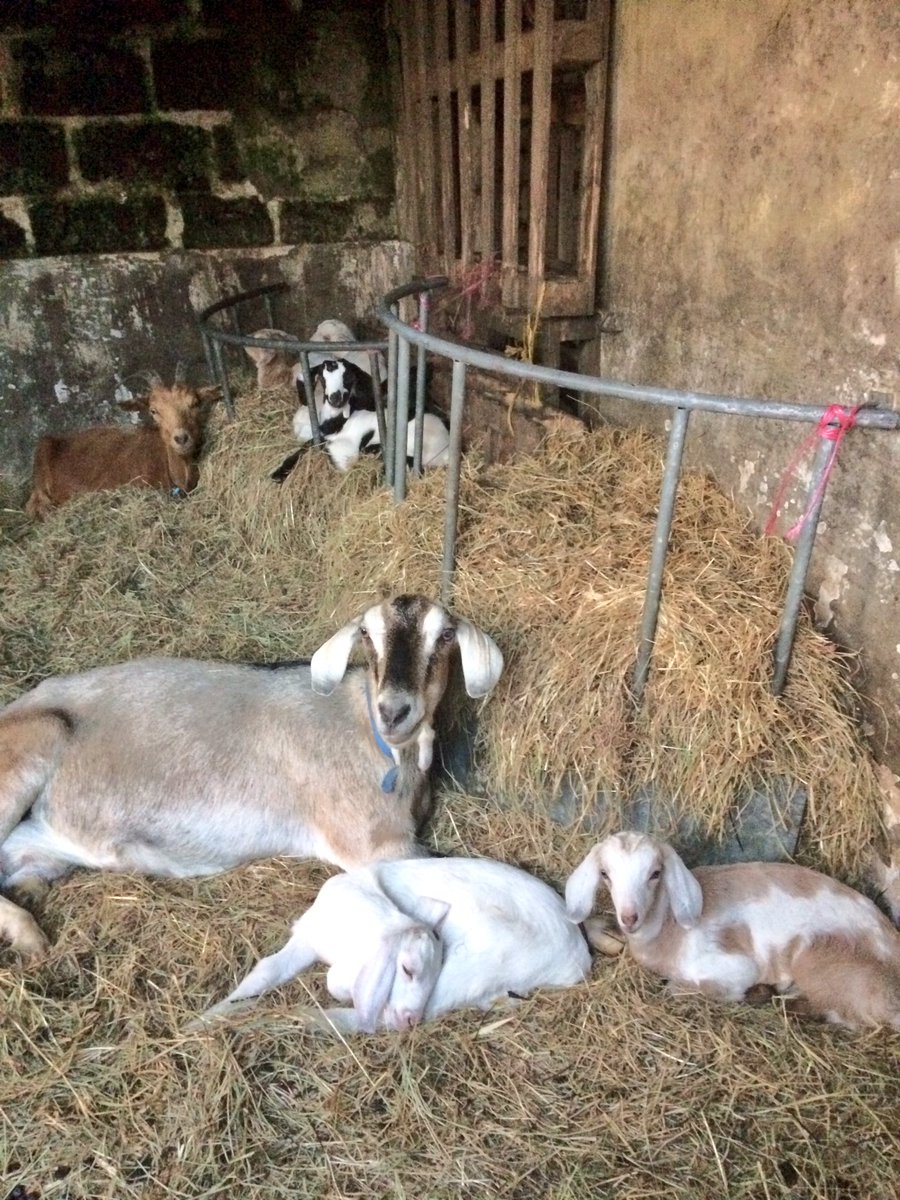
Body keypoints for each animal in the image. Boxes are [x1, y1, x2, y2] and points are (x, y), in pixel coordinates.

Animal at [0, 595, 504, 960]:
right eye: (367, 633)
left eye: (444, 635)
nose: (394, 710)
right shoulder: (373, 845)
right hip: (36, 740)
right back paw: (27, 935)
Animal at [194, 856, 591, 1033]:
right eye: (407, 969)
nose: (410, 1019)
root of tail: (577, 956)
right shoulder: (307, 937)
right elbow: (264, 972)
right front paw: (204, 1020)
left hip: (476, 965)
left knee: (375, 1021)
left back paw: (286, 1019)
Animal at [565, 832, 900, 1031]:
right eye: (605, 874)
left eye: (655, 873)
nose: (630, 917)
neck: (667, 931)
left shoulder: (732, 966)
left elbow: (677, 988)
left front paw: (750, 992)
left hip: (819, 958)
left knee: (846, 1016)